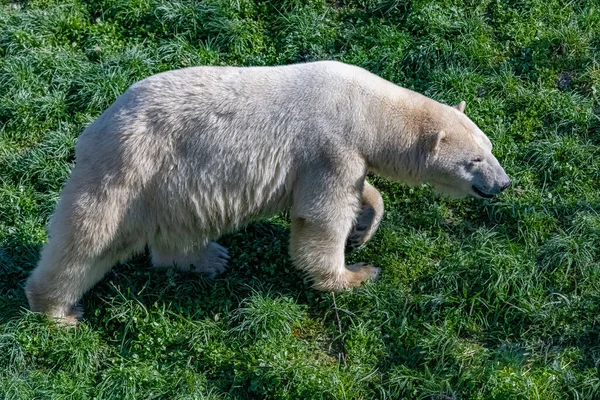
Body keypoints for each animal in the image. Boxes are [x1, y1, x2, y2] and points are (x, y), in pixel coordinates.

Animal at [24, 61, 510, 324]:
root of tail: (96, 127)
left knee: (177, 230)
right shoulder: (328, 145)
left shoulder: (348, 152)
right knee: (88, 238)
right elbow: (321, 218)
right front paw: (353, 275)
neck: (365, 108)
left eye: (489, 147)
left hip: (171, 187)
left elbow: (362, 192)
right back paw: (57, 310)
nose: (503, 183)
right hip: (132, 169)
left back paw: (207, 258)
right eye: (474, 160)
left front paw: (364, 228)